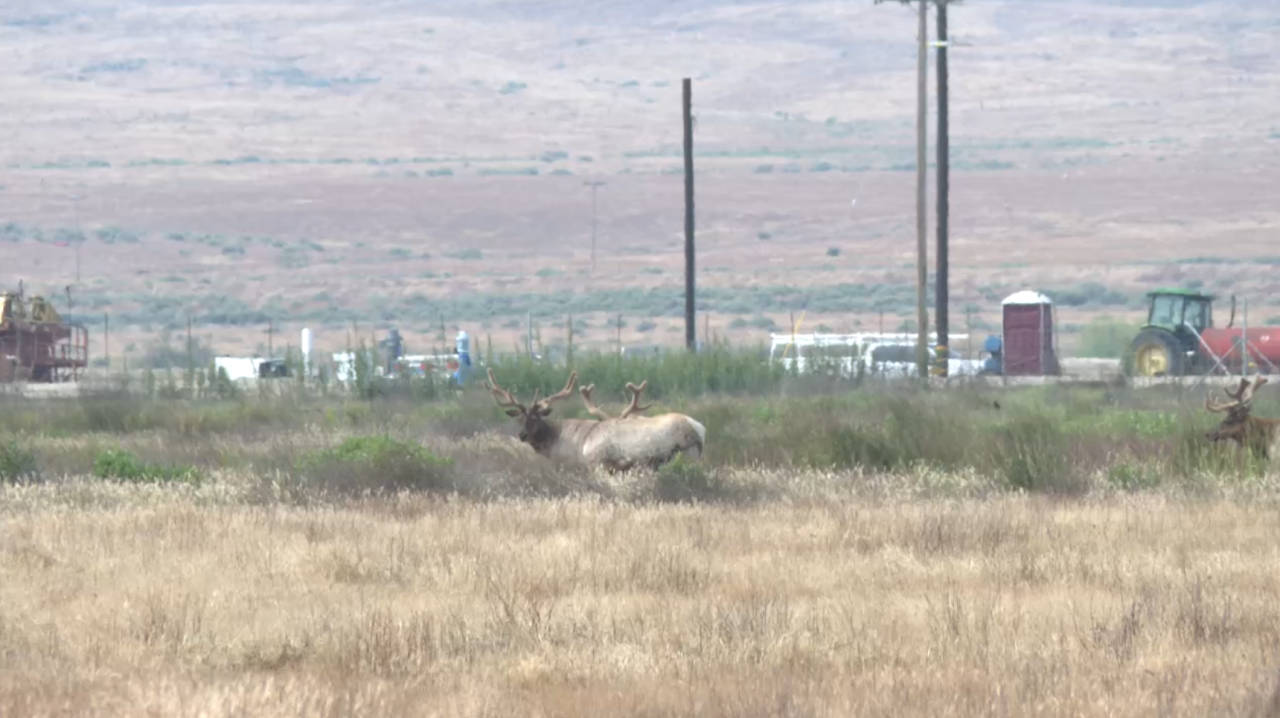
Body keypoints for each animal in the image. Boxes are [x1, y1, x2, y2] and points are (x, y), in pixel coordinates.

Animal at [485, 369, 706, 472]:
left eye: (536, 416)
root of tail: (699, 428)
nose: (522, 435)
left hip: (686, 453)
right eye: (520, 418)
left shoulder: (596, 462)